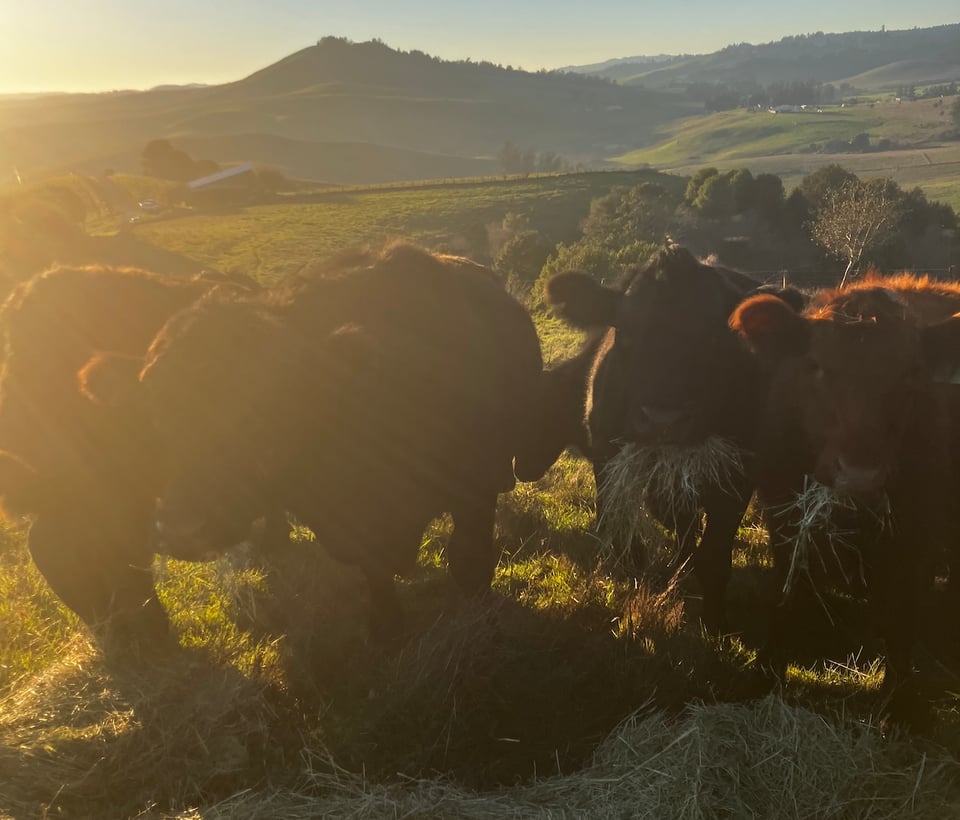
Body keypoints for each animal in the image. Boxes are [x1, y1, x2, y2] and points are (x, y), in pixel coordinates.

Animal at [84, 243, 544, 639]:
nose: (180, 530)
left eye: (265, 409)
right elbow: (373, 569)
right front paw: (386, 625)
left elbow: (468, 562)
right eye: (155, 413)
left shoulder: (474, 490)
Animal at [731, 274, 960, 723]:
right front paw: (765, 676)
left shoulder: (916, 538)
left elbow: (902, 616)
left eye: (912, 373)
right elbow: (785, 595)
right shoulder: (783, 519)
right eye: (816, 366)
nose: (858, 474)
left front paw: (896, 703)